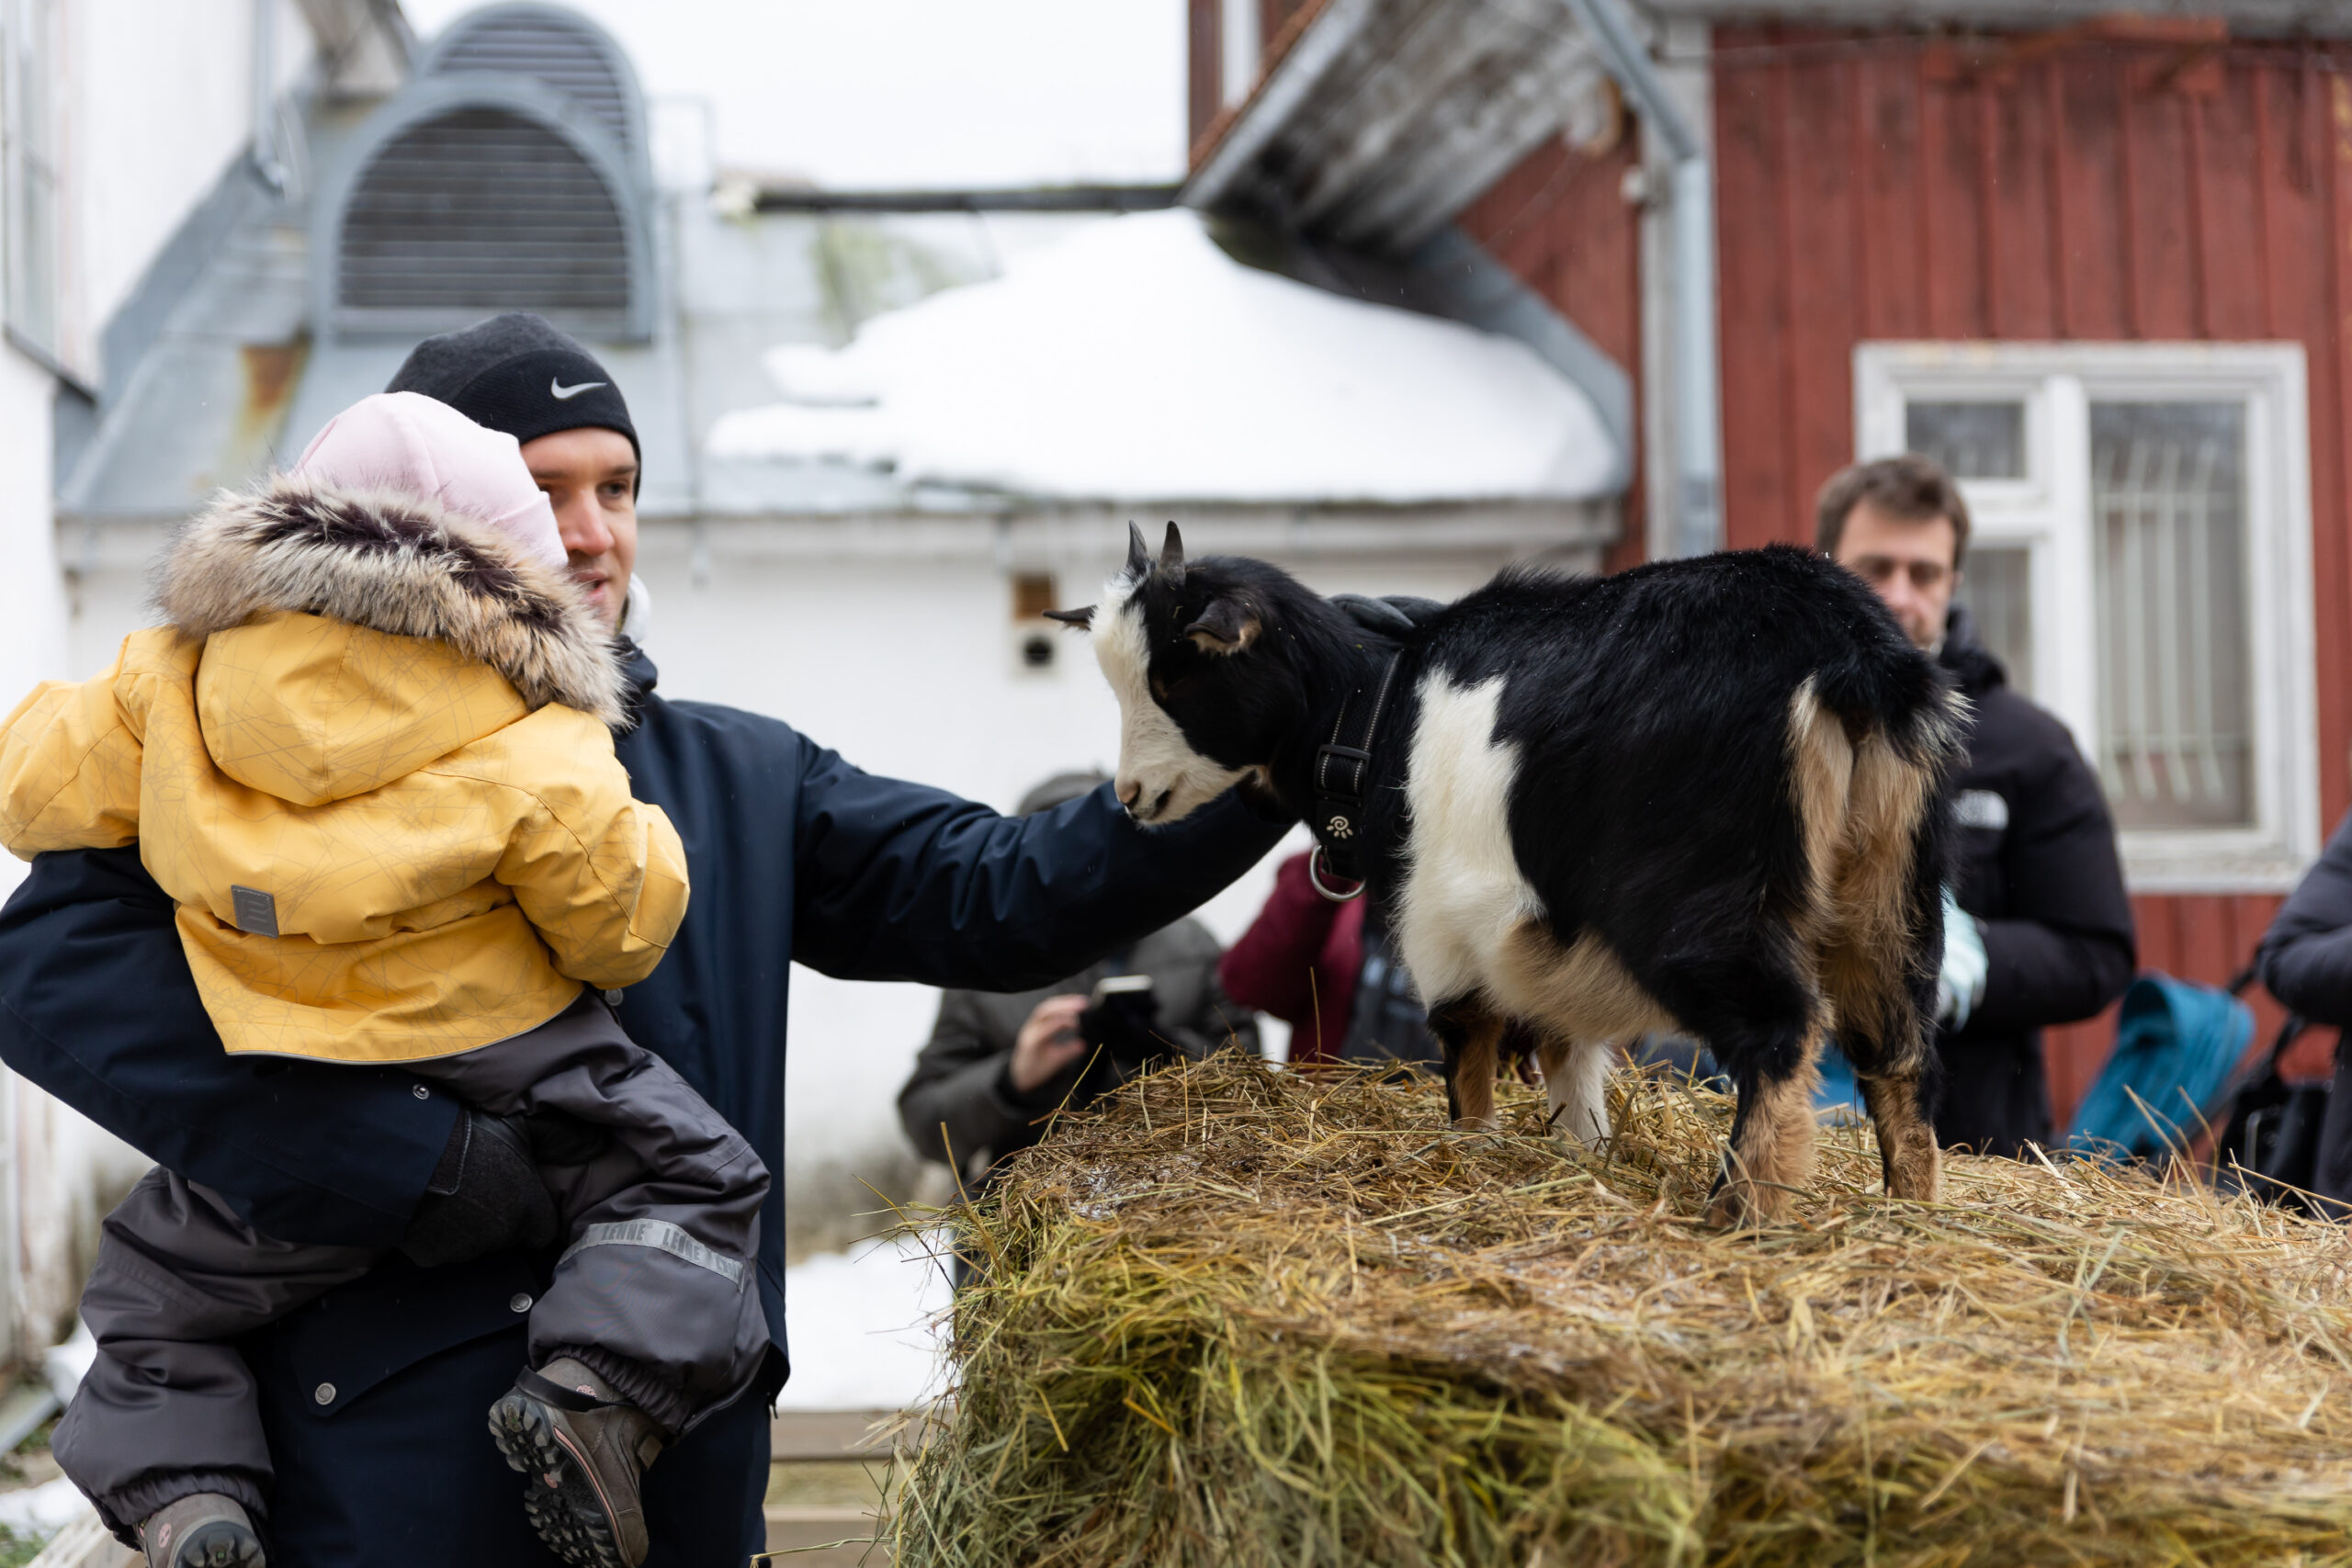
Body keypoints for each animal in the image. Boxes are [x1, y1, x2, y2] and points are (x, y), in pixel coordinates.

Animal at [1058, 526, 1956, 1222]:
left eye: (1175, 677)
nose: (1131, 796)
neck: (1368, 711)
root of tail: (1847, 656)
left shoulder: (1442, 929)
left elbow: (1468, 1054)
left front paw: (1472, 1152)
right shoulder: (1548, 948)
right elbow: (1569, 1060)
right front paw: (1580, 1154)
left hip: (1703, 908)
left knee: (1782, 1029)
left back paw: (1741, 1208)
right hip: (1890, 895)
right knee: (1896, 1047)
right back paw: (1910, 1206)